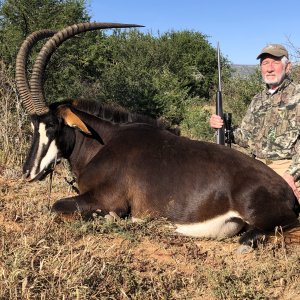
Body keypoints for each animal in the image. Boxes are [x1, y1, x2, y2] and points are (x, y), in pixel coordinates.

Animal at [15, 22, 298, 250]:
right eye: (33, 125)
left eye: (53, 126)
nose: (28, 172)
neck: (102, 144)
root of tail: (288, 192)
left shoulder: (108, 200)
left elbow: (56, 207)